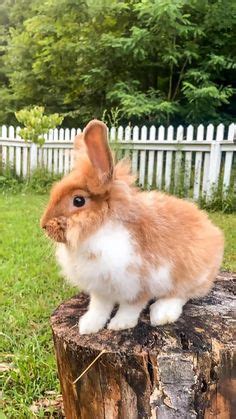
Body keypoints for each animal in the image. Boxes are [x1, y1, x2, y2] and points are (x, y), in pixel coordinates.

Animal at [41, 120, 225, 336]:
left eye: (78, 201)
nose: (43, 225)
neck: (99, 230)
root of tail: (214, 232)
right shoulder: (101, 288)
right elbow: (99, 307)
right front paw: (87, 326)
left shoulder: (139, 284)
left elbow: (131, 307)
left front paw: (119, 325)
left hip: (191, 274)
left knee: (182, 294)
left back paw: (161, 314)